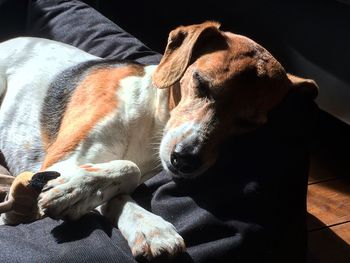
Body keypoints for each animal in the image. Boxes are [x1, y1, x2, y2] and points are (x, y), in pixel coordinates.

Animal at [0, 21, 318, 260]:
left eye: (248, 123)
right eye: (201, 83)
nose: (186, 159)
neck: (153, 119)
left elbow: (118, 190)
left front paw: (147, 227)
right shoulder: (60, 161)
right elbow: (127, 166)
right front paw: (77, 188)